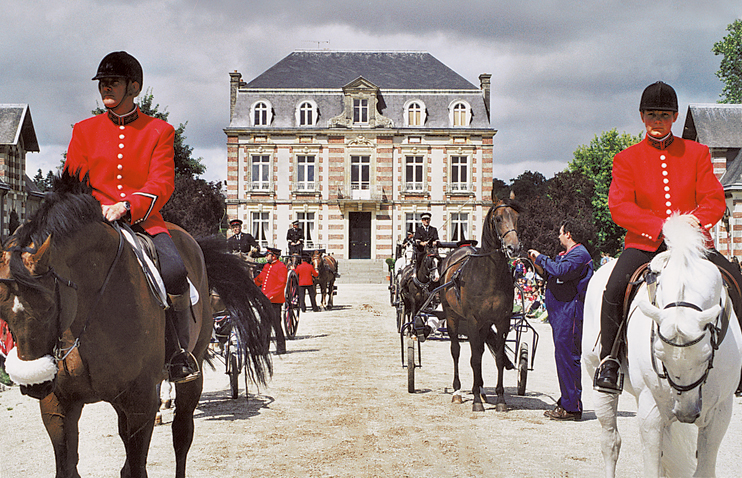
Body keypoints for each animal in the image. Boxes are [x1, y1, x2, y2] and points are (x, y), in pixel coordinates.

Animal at [0, 172, 274, 478]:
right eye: (2, 309)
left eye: (48, 305)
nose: (35, 384)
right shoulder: (58, 405)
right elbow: (68, 467)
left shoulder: (140, 402)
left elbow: (137, 466)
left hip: (193, 370)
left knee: (182, 435)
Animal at [438, 190, 520, 410]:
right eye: (498, 218)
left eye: (517, 217)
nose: (514, 247)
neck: (489, 275)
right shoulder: (473, 320)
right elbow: (474, 359)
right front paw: (475, 400)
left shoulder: (501, 321)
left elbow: (497, 357)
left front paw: (500, 399)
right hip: (452, 316)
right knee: (456, 350)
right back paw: (458, 391)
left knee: (482, 352)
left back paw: (482, 390)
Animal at [588, 215, 742, 476]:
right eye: (659, 353)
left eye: (706, 355)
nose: (686, 413)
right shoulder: (651, 411)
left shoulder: (720, 411)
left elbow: (703, 469)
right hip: (598, 377)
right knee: (610, 442)